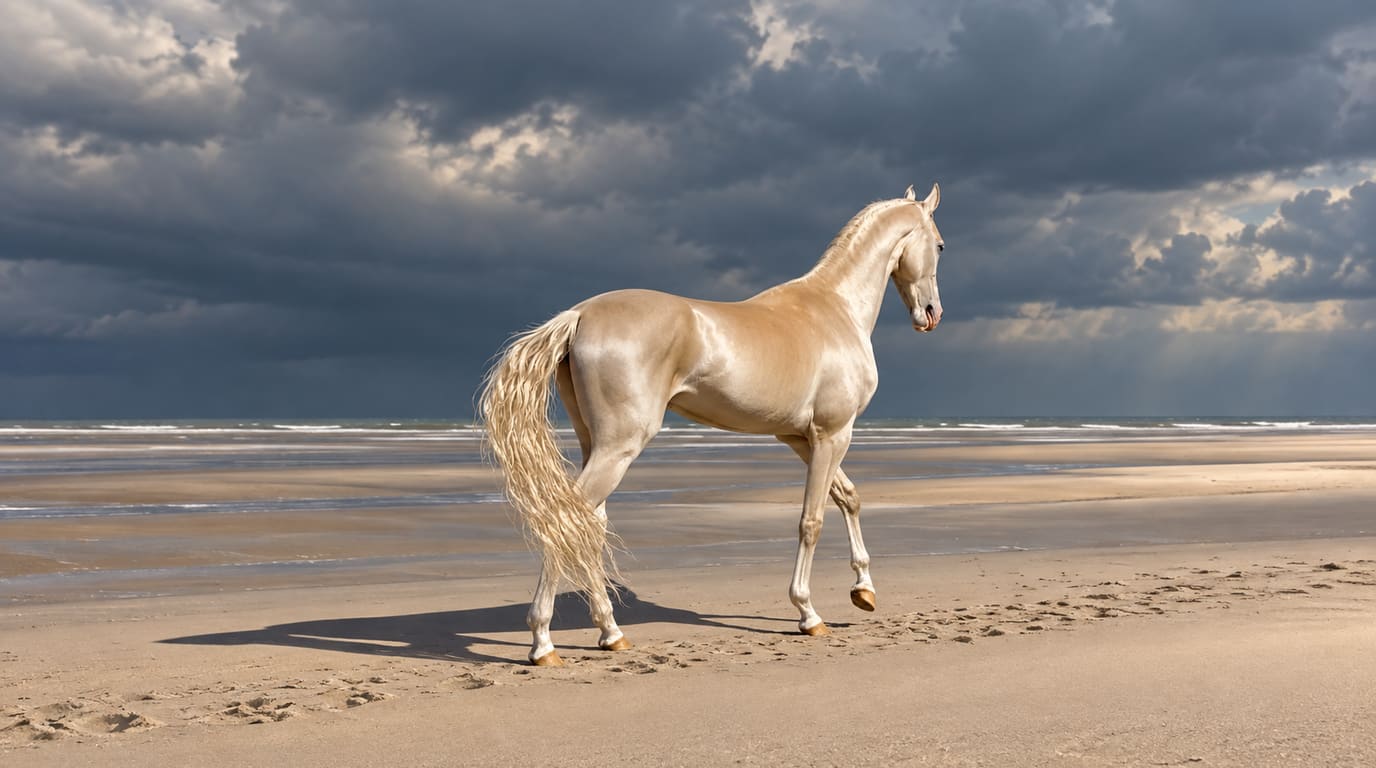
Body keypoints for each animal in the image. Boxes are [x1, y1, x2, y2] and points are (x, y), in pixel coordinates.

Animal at [480, 184, 945, 665]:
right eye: (940, 246)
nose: (932, 313)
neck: (834, 309)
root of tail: (579, 315)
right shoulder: (833, 434)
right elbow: (812, 520)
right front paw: (808, 613)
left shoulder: (801, 438)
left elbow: (848, 498)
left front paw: (864, 590)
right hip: (619, 447)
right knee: (567, 520)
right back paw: (543, 643)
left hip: (596, 444)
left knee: (587, 523)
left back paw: (610, 632)